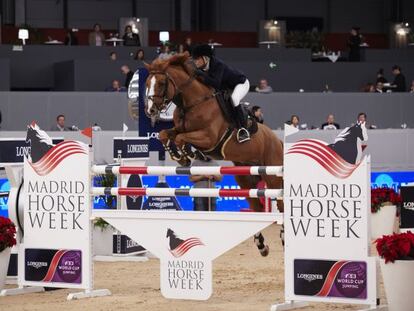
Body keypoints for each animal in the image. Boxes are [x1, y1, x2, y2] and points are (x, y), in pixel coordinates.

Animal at [144, 53, 284, 258]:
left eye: (161, 83)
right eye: (147, 83)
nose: (150, 111)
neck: (192, 102)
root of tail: (277, 140)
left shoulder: (208, 137)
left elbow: (180, 138)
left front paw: (186, 153)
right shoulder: (178, 128)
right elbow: (166, 134)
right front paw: (180, 156)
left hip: (272, 176)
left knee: (281, 204)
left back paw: (283, 238)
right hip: (245, 178)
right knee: (256, 208)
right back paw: (261, 245)